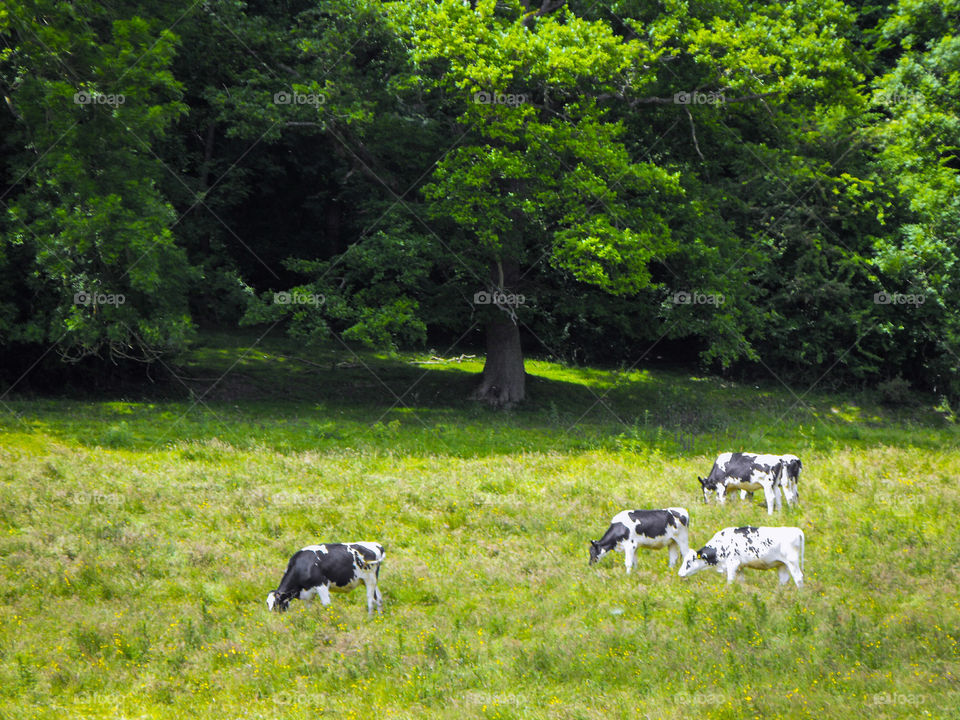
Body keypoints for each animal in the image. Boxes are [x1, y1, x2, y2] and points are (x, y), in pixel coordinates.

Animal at [680, 524, 808, 588]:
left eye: (688, 562)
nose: (680, 574)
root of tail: (796, 530)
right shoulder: (739, 567)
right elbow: (740, 581)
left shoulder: (732, 564)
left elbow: (730, 581)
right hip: (781, 564)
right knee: (784, 579)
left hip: (792, 562)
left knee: (798, 578)